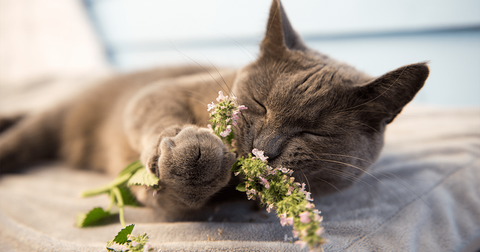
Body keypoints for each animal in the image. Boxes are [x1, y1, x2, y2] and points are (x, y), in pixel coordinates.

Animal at [0, 0, 430, 220]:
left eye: (313, 132)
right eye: (259, 104)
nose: (265, 149)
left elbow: (173, 198)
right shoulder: (159, 92)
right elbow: (156, 118)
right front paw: (191, 149)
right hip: (56, 118)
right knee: (23, 134)